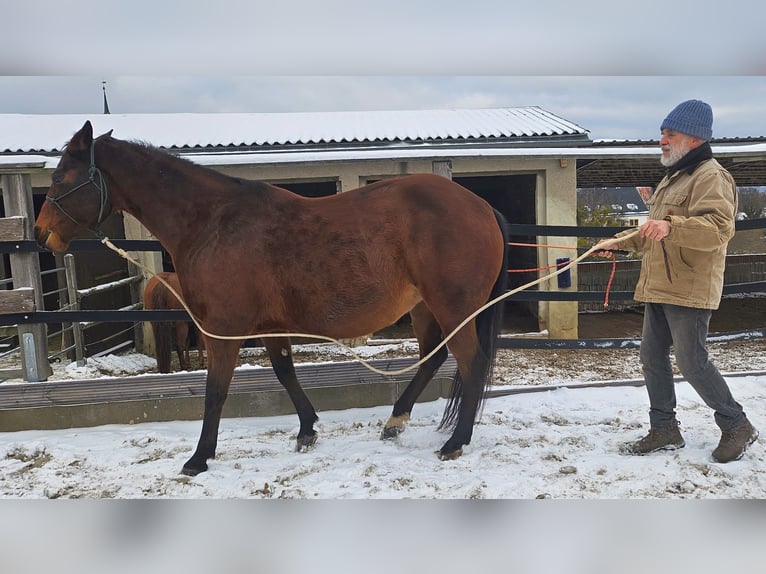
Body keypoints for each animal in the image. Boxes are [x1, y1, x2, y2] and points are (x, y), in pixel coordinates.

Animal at [35, 121, 509, 476]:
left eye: (60, 178)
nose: (41, 234)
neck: (212, 222)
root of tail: (482, 207)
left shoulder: (222, 330)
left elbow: (215, 390)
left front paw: (198, 458)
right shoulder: (269, 327)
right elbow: (284, 373)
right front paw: (306, 430)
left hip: (452, 307)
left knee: (470, 362)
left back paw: (455, 442)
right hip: (426, 308)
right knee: (433, 357)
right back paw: (395, 422)